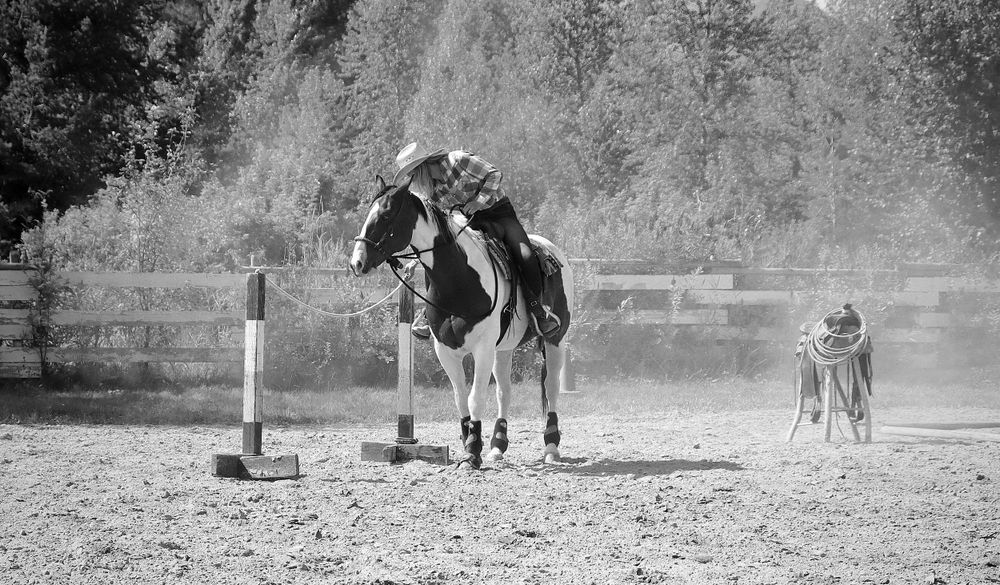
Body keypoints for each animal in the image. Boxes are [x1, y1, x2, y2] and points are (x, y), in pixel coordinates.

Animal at [348, 176, 574, 469]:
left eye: (386, 215)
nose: (357, 262)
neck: (459, 280)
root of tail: (551, 249)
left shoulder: (482, 349)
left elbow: (475, 398)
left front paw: (471, 453)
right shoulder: (446, 351)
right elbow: (460, 399)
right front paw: (471, 444)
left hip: (555, 339)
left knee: (551, 389)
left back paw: (551, 448)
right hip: (503, 349)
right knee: (504, 392)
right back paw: (497, 447)